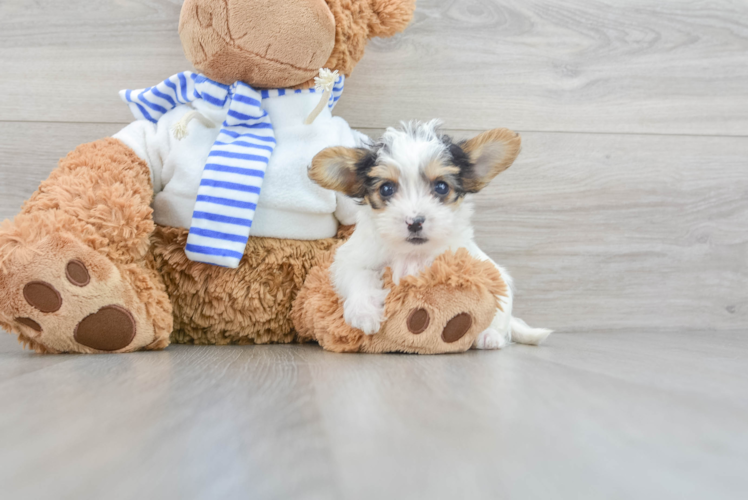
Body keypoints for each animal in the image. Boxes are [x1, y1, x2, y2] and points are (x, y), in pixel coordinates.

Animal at [308, 120, 548, 348]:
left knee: (502, 314)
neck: (411, 252)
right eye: (386, 189)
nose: (414, 222)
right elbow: (358, 274)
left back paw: (490, 336)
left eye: (441, 187)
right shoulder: (351, 257)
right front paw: (364, 312)